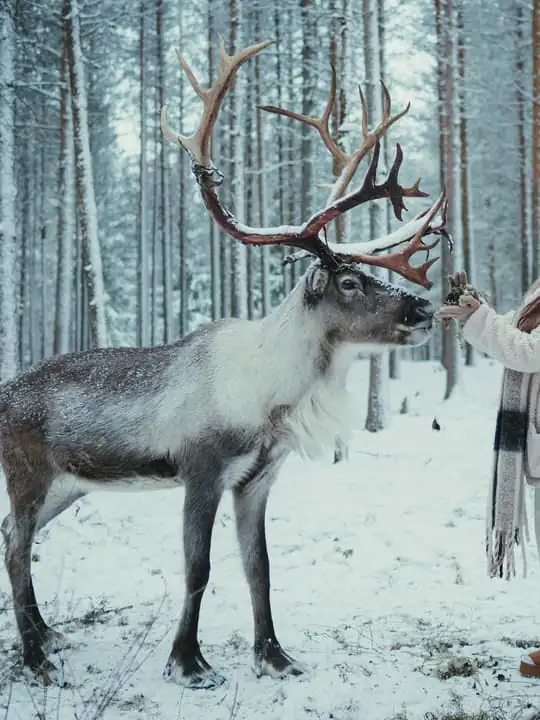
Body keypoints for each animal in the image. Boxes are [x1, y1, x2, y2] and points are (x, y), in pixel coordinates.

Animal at [0, 38, 448, 689]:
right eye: (349, 281)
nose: (424, 308)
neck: (275, 396)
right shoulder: (202, 469)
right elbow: (200, 568)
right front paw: (189, 662)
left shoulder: (259, 477)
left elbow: (258, 567)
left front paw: (275, 655)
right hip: (29, 471)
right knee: (16, 543)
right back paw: (36, 658)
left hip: (70, 483)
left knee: (14, 534)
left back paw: (47, 635)